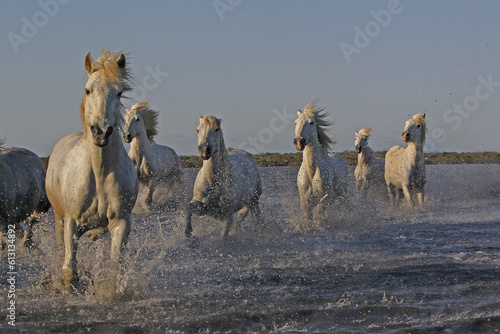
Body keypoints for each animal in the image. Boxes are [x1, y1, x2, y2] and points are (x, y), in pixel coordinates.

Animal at [45, 49, 139, 290]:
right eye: (88, 90)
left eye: (119, 92)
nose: (101, 132)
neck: (99, 172)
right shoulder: (71, 221)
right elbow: (69, 270)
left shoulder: (121, 221)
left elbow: (114, 270)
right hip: (59, 217)